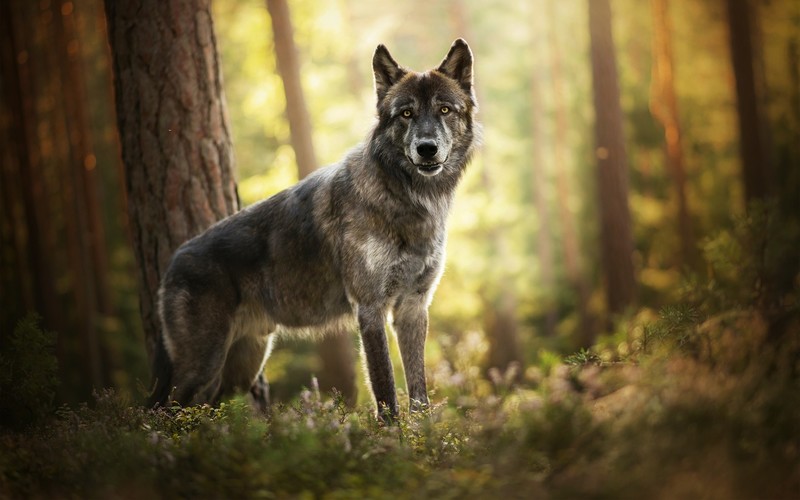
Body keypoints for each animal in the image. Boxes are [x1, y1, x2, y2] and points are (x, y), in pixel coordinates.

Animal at [150, 39, 478, 419]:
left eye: (444, 109)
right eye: (407, 113)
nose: (427, 149)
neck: (407, 198)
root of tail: (172, 262)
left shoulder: (412, 309)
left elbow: (419, 396)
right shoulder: (370, 310)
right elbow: (386, 396)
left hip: (235, 372)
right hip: (202, 368)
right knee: (159, 413)